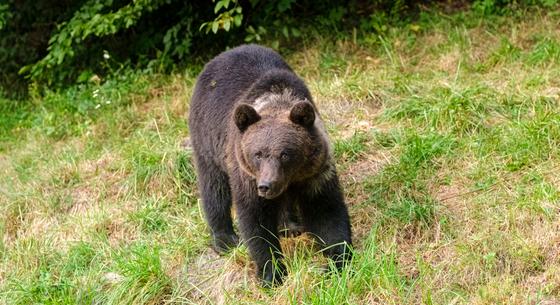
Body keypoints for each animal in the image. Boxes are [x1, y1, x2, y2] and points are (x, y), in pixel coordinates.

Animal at [190, 43, 352, 284]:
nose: (266, 185)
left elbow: (326, 211)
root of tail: (222, 54)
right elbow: (256, 220)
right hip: (207, 140)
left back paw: (290, 226)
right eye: (258, 154)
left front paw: (338, 261)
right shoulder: (246, 174)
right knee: (214, 187)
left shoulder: (315, 173)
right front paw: (272, 273)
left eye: (285, 154)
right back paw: (224, 239)